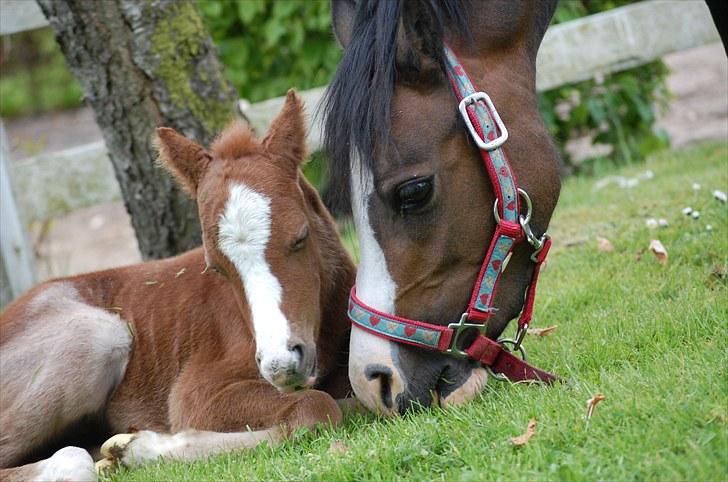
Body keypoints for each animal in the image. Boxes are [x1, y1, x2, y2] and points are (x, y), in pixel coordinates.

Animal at [0, 92, 356, 480]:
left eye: (300, 238)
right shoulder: (196, 393)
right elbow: (317, 407)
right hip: (96, 332)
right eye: (217, 267)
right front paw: (140, 448)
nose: (281, 364)